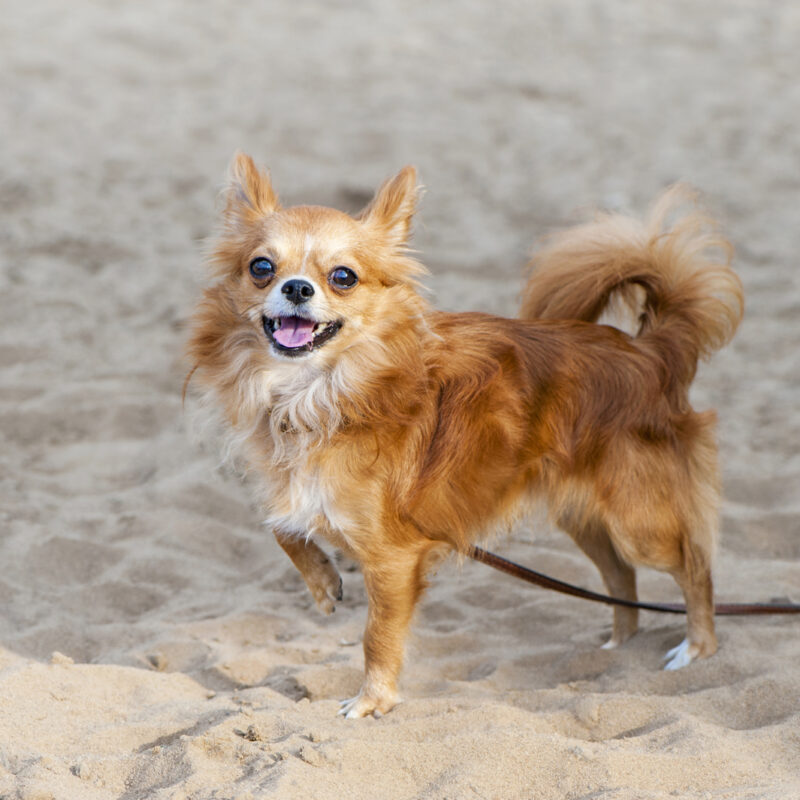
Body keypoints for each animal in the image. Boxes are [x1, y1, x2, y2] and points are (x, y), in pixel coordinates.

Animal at [188, 153, 744, 716]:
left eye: (343, 277)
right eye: (261, 268)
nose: (298, 287)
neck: (316, 395)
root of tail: (653, 352)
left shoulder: (393, 557)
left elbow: (376, 636)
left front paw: (372, 702)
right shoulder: (304, 493)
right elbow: (281, 527)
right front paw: (323, 585)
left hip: (639, 523)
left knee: (695, 568)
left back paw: (697, 646)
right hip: (583, 516)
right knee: (621, 578)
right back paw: (617, 646)